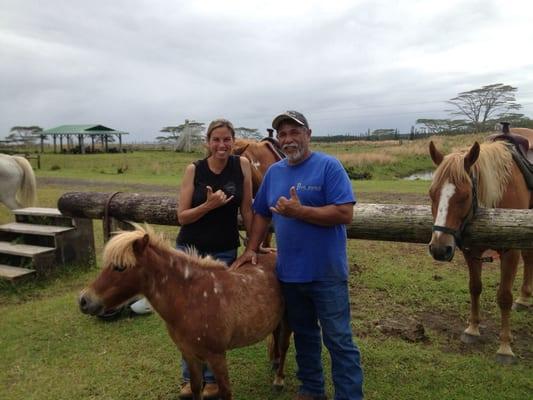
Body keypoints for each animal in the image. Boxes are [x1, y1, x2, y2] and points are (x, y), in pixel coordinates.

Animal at [77, 225, 288, 400]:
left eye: (120, 267)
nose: (84, 301)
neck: (192, 299)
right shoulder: (189, 354)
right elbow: (195, 388)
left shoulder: (217, 357)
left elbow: (225, 392)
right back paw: (275, 362)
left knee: (284, 345)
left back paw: (279, 380)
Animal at [428, 140, 532, 362]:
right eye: (431, 194)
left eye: (465, 195)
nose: (439, 249)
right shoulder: (472, 250)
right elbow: (475, 287)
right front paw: (473, 329)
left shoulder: (511, 251)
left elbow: (504, 297)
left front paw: (504, 347)